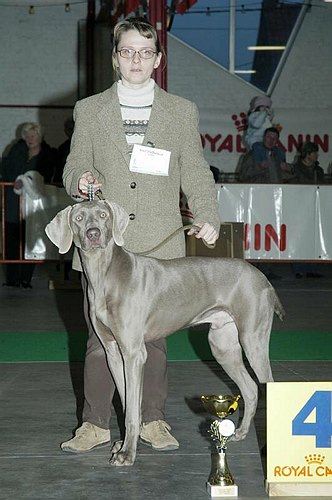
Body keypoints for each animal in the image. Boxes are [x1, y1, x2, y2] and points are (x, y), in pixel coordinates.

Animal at [45, 201, 284, 466]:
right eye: (78, 218)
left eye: (103, 215)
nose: (93, 233)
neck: (103, 275)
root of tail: (262, 277)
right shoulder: (114, 353)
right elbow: (128, 404)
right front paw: (125, 444)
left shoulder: (134, 354)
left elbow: (131, 410)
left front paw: (127, 454)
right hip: (222, 346)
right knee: (250, 388)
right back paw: (240, 433)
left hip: (253, 340)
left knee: (268, 386)